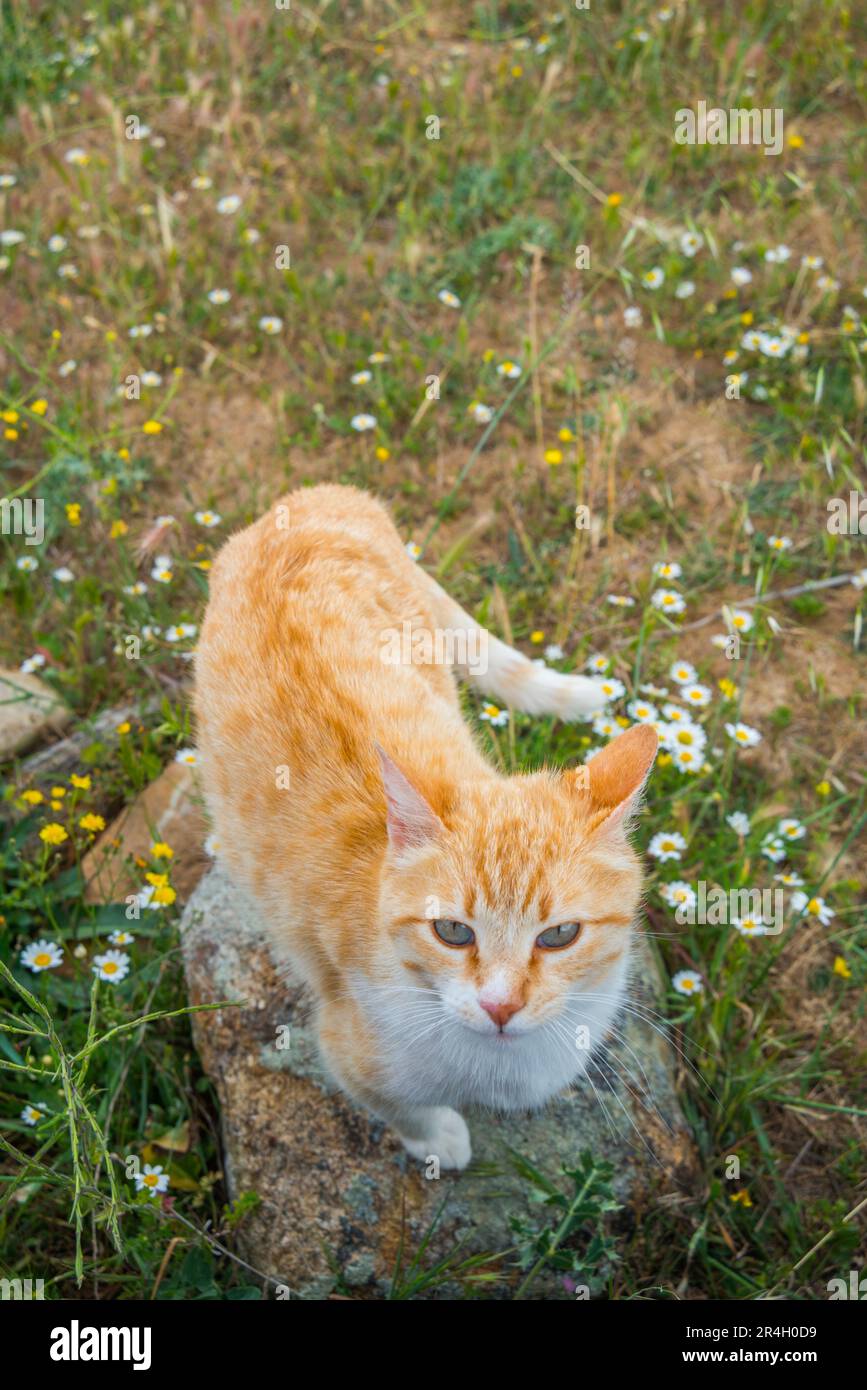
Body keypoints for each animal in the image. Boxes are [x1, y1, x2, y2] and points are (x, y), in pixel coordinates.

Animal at [195, 483, 655, 1167]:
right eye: (452, 932)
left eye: (560, 935)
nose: (500, 1005)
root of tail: (314, 493)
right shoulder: (347, 1046)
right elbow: (399, 1107)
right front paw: (440, 1139)